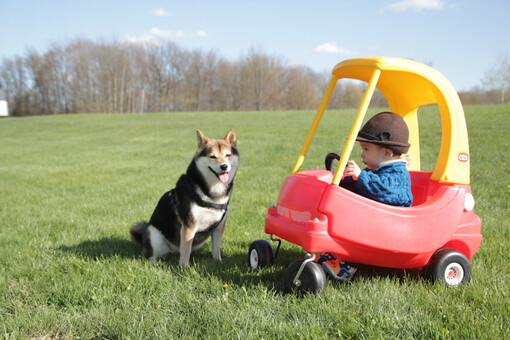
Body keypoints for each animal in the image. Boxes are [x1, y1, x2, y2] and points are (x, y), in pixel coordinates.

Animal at [128, 128, 238, 266]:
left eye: (228, 155)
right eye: (212, 156)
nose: (224, 166)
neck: (213, 193)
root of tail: (173, 250)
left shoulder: (219, 226)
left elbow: (216, 247)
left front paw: (218, 261)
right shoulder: (189, 224)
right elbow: (186, 248)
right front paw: (184, 267)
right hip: (153, 233)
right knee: (150, 255)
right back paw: (156, 262)